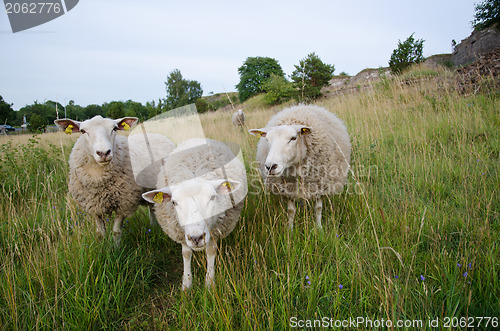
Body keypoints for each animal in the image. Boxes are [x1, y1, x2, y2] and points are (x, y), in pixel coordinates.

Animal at [55, 115, 175, 245]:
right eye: (82, 131)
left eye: (114, 129)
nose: (103, 153)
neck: (98, 176)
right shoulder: (94, 206)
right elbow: (100, 233)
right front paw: (103, 246)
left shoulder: (124, 203)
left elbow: (116, 232)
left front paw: (116, 248)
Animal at [142, 139, 247, 292]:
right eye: (174, 202)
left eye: (212, 197)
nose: (196, 238)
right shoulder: (181, 233)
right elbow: (186, 254)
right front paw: (186, 284)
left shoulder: (213, 231)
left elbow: (210, 251)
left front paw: (209, 283)